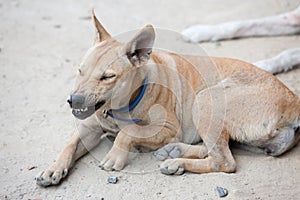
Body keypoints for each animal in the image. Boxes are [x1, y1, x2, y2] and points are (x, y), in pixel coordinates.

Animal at [35, 10, 300, 186]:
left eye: (108, 77)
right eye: (80, 70)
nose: (74, 100)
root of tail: (294, 102)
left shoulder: (168, 128)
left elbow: (128, 132)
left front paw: (115, 154)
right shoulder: (89, 128)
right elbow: (69, 145)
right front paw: (53, 169)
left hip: (205, 100)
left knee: (224, 162)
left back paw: (177, 162)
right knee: (213, 151)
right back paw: (175, 152)